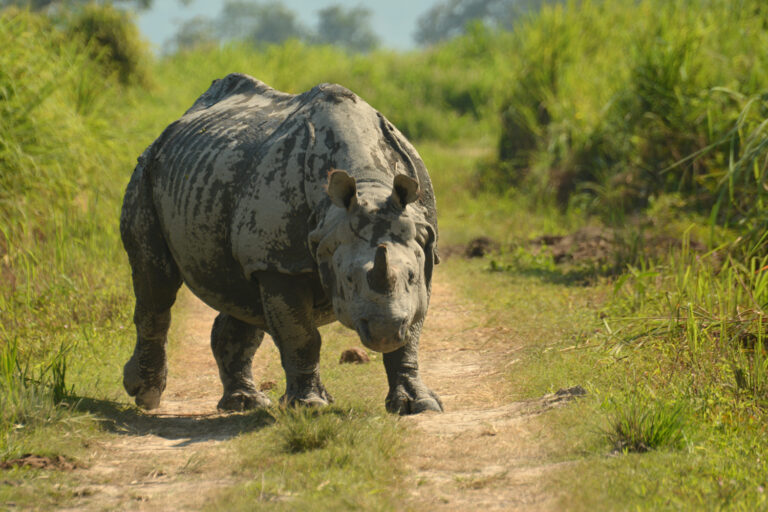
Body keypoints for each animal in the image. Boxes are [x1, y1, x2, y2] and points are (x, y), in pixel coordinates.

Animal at [120, 73, 443, 415]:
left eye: (410, 276)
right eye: (349, 279)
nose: (384, 330)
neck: (369, 184)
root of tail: (172, 126)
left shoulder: (425, 247)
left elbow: (412, 332)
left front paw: (418, 404)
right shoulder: (279, 262)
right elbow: (301, 335)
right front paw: (309, 407)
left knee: (242, 298)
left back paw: (244, 403)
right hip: (146, 170)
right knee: (155, 282)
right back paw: (146, 395)